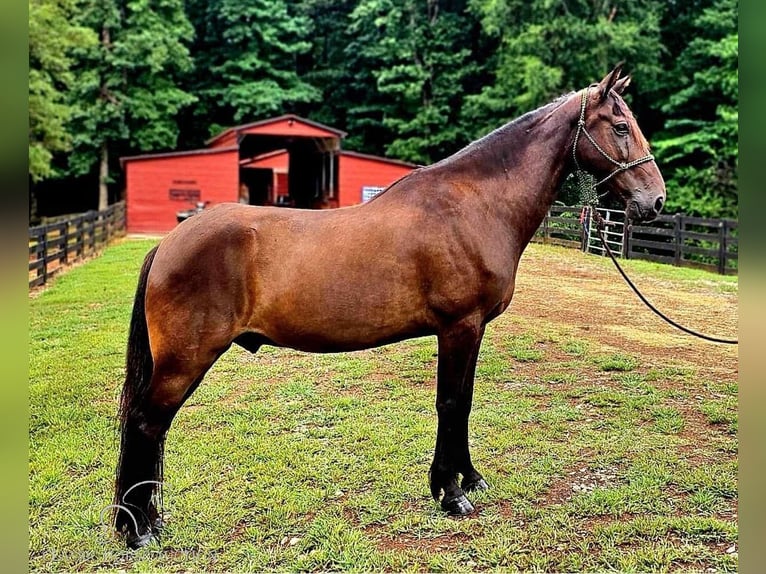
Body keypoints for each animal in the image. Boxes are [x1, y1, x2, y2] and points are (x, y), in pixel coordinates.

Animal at [112, 65, 664, 552]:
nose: (655, 201)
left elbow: (464, 402)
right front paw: (451, 494)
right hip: (184, 361)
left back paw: (148, 521)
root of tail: (167, 243)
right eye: (620, 127)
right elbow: (451, 403)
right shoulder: (459, 327)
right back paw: (139, 530)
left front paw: (468, 478)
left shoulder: (472, 330)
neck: (475, 205)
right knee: (146, 424)